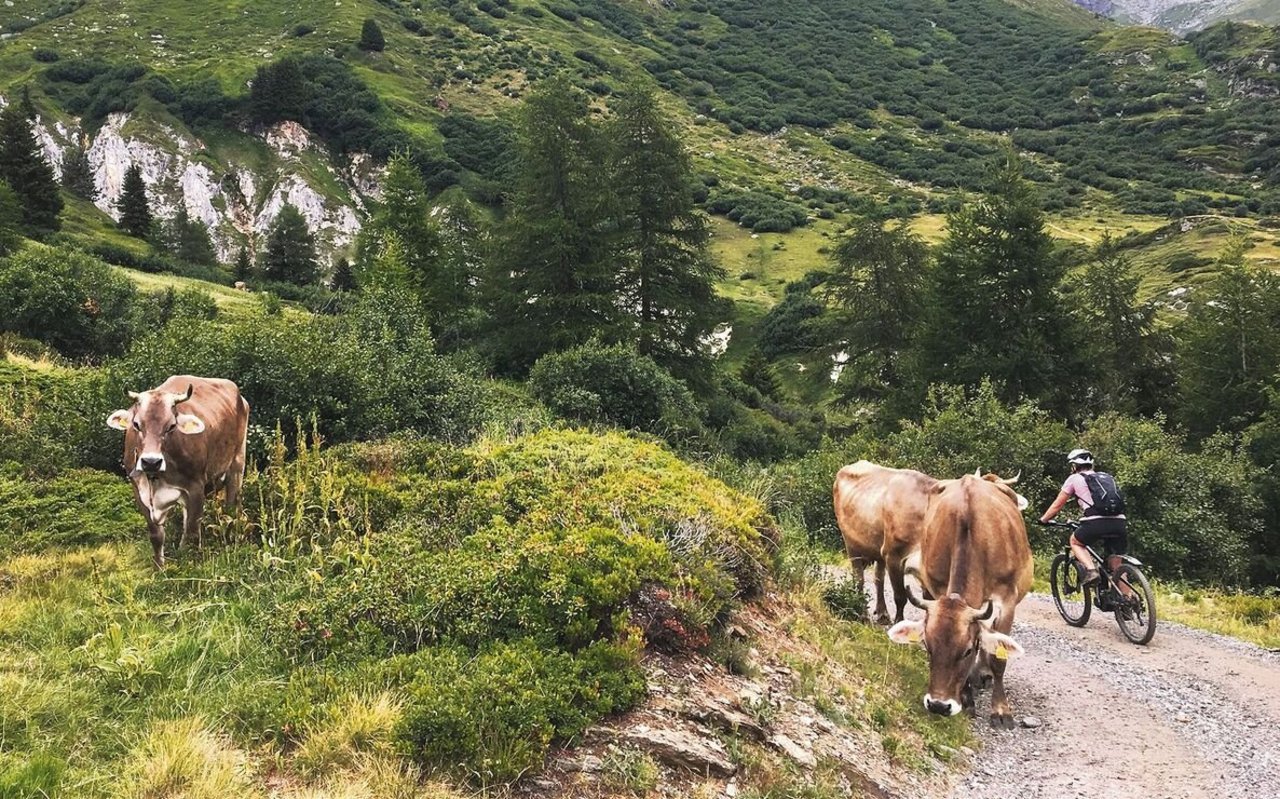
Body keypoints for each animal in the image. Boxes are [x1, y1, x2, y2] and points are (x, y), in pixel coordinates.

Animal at [104, 376, 249, 568]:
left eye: (171, 426)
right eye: (136, 424)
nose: (151, 462)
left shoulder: (195, 488)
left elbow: (192, 534)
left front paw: (189, 567)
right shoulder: (139, 490)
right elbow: (157, 536)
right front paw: (160, 568)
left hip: (237, 463)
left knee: (232, 508)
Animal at [885, 473, 1034, 732]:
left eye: (967, 651)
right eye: (927, 646)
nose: (938, 705)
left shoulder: (1006, 600)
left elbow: (998, 657)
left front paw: (1001, 710)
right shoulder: (936, 589)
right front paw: (966, 699)